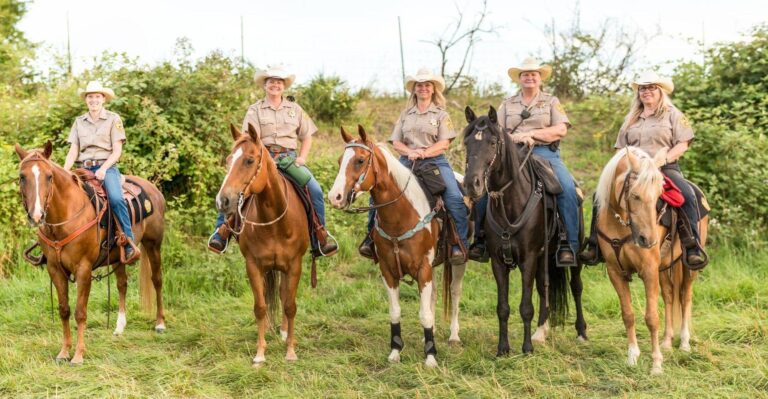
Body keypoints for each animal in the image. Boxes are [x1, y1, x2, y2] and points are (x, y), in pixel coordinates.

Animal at [14, 141, 166, 366]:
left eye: (49, 176)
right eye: (22, 177)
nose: (37, 215)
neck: (66, 216)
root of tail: (153, 188)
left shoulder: (83, 269)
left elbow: (80, 312)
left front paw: (78, 355)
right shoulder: (54, 269)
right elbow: (64, 310)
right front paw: (64, 352)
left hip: (153, 244)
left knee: (156, 280)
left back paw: (160, 323)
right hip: (118, 257)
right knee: (122, 284)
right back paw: (119, 327)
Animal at [214, 124, 310, 366]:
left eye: (249, 160)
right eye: (229, 160)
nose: (223, 201)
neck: (274, 221)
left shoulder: (295, 265)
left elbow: (290, 305)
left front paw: (290, 351)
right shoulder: (254, 266)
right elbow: (260, 307)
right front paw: (260, 353)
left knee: (285, 296)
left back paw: (284, 332)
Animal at [324, 126, 462, 368]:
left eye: (360, 160)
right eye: (341, 160)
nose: (335, 197)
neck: (401, 215)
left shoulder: (423, 269)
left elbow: (424, 313)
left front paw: (430, 356)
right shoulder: (388, 271)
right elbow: (396, 312)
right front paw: (396, 351)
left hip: (459, 262)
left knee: (454, 292)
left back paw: (454, 335)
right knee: (435, 295)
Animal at [462, 106, 588, 356]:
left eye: (493, 142)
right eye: (467, 142)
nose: (472, 184)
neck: (510, 203)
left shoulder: (528, 259)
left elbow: (526, 306)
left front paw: (527, 348)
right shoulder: (499, 262)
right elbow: (503, 307)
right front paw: (503, 349)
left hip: (574, 255)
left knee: (576, 287)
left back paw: (581, 332)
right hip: (543, 258)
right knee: (543, 287)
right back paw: (541, 332)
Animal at [592, 146, 708, 376]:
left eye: (658, 197)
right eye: (635, 195)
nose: (649, 240)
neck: (622, 225)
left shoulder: (648, 271)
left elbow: (652, 318)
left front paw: (656, 364)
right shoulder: (615, 272)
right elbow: (628, 314)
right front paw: (632, 357)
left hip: (688, 268)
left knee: (685, 297)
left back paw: (684, 343)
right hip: (664, 268)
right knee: (670, 297)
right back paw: (667, 342)